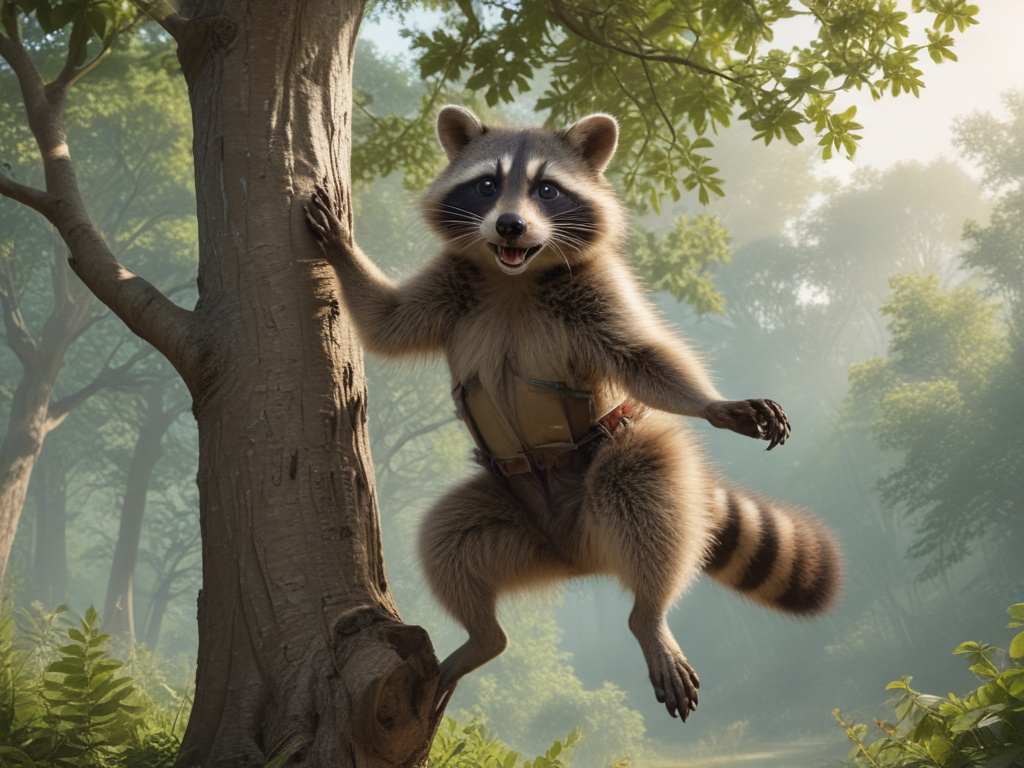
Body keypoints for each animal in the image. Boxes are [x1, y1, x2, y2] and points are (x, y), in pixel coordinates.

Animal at [305, 106, 843, 721]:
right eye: (486, 185)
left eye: (547, 189)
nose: (510, 226)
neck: (513, 276)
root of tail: (577, 557)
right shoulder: (451, 284)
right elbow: (386, 321)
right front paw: (343, 252)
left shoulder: (597, 291)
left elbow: (643, 358)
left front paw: (714, 403)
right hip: (506, 512)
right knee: (447, 537)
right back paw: (483, 635)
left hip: (606, 466)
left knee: (643, 484)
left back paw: (649, 614)